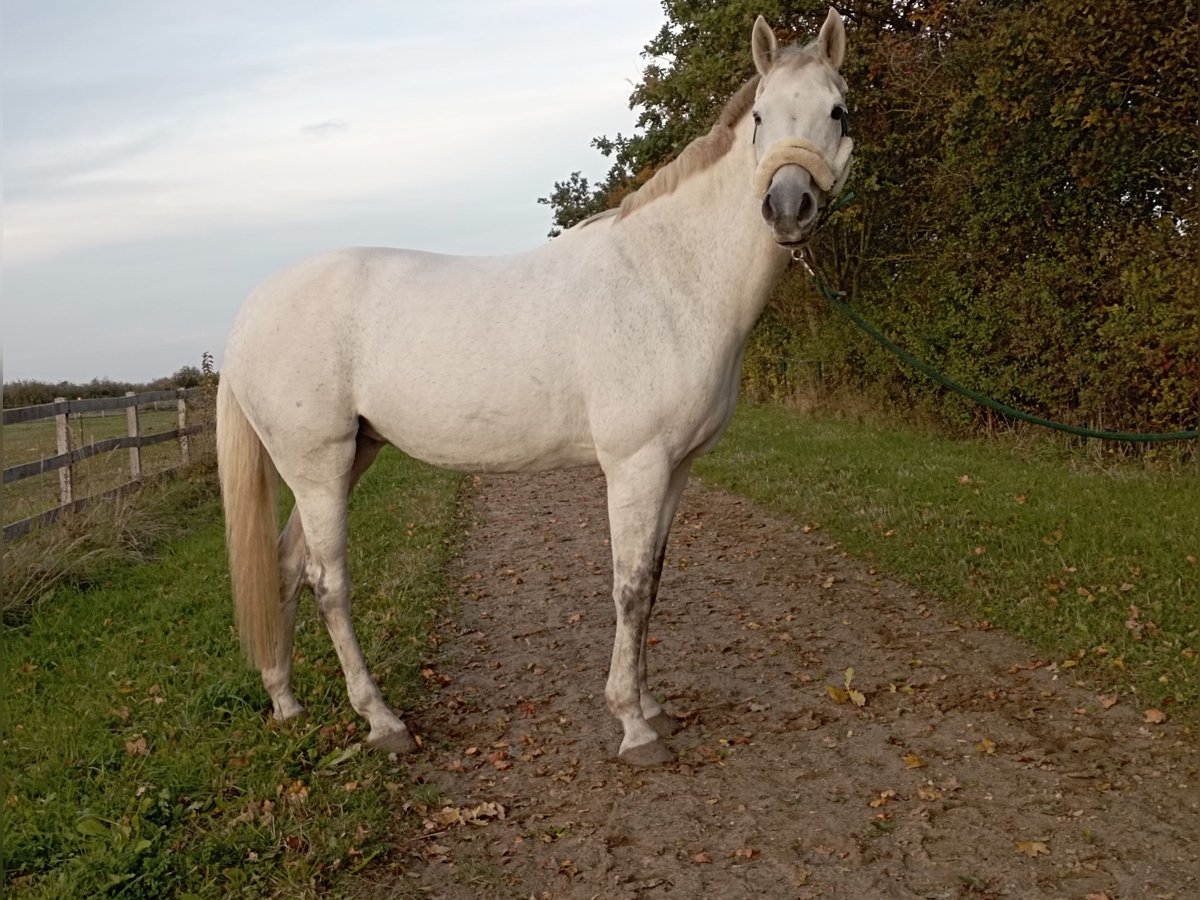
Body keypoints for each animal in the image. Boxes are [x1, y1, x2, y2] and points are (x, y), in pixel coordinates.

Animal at [216, 10, 854, 763]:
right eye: (760, 116)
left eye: (837, 112)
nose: (789, 207)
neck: (669, 277)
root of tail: (249, 312)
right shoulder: (635, 465)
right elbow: (628, 588)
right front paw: (634, 727)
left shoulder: (676, 469)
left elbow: (654, 581)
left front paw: (652, 705)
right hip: (316, 465)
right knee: (327, 581)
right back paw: (382, 721)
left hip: (348, 457)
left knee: (286, 566)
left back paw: (286, 703)